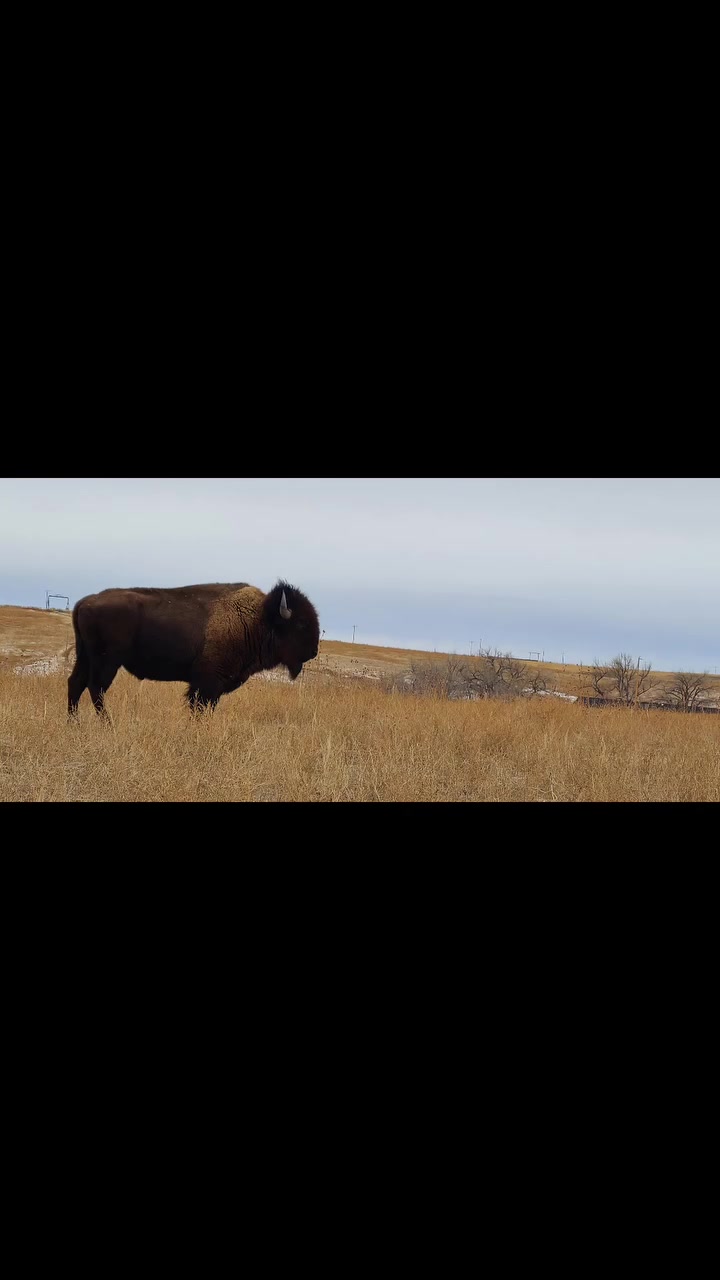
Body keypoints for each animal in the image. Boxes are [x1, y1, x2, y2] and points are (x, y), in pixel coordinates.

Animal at [67, 580, 320, 716]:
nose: (313, 651)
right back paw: (107, 725)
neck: (256, 619)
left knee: (76, 683)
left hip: (85, 656)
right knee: (96, 688)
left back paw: (74, 723)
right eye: (301, 623)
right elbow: (199, 708)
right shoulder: (206, 684)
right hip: (107, 661)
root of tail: (84, 602)